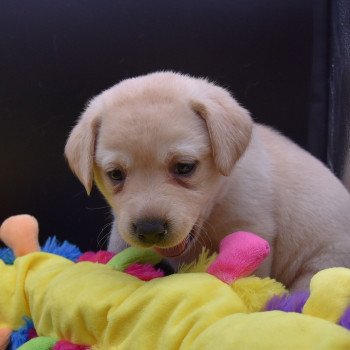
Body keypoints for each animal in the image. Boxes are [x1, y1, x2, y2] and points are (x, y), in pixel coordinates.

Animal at [64, 71, 350, 290]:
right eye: (115, 174)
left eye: (184, 167)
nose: (150, 229)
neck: (218, 201)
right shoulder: (122, 228)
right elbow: (119, 249)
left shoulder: (251, 228)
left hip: (320, 267)